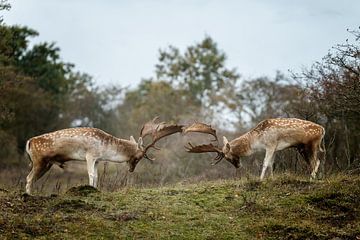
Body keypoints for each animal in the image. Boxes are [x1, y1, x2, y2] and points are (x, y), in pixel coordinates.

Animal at [25, 117, 183, 194]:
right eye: (138, 157)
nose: (131, 169)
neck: (105, 148)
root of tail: (29, 142)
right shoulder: (90, 155)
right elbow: (91, 174)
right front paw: (89, 189)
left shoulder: (97, 160)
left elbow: (96, 175)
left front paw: (96, 190)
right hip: (39, 161)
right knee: (29, 178)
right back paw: (28, 195)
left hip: (46, 164)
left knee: (31, 178)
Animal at [184, 118, 324, 180]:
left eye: (228, 156)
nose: (238, 166)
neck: (256, 140)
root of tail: (323, 129)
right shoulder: (275, 148)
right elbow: (271, 164)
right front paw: (271, 178)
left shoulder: (271, 144)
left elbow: (265, 163)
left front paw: (260, 179)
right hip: (304, 147)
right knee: (315, 162)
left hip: (312, 144)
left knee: (316, 161)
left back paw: (311, 178)